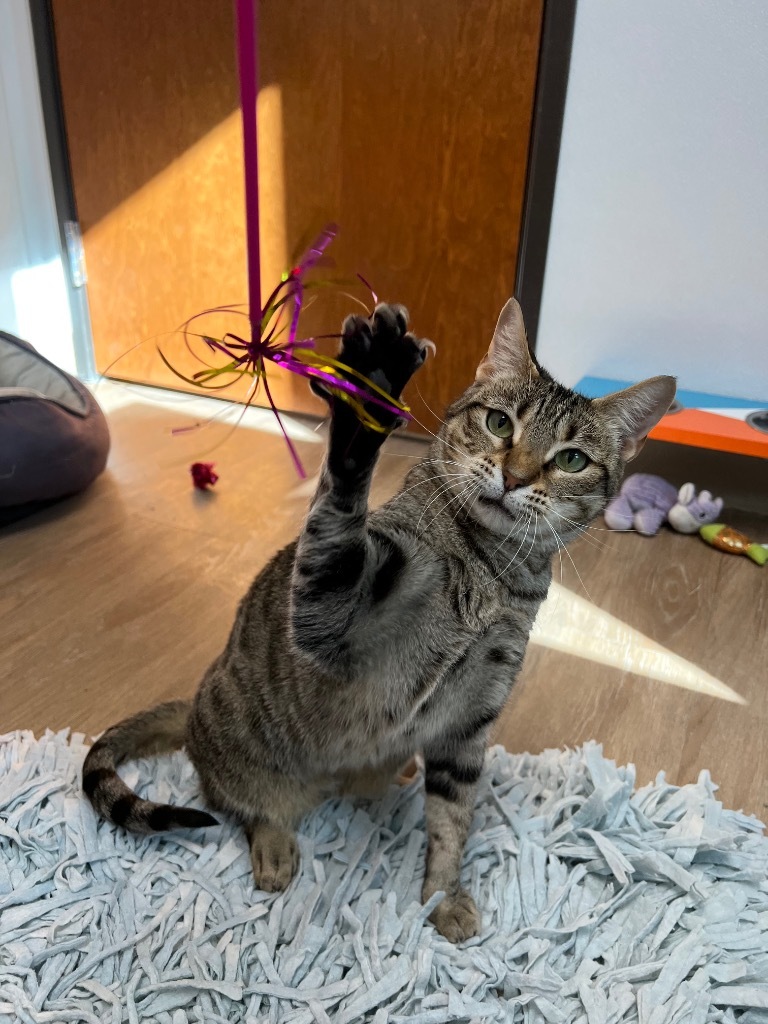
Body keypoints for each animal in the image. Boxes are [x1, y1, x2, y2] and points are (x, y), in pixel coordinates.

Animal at [81, 299, 675, 942]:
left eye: (571, 459)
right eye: (499, 424)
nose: (514, 477)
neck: (491, 573)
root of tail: (193, 705)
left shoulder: (470, 719)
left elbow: (451, 821)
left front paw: (442, 896)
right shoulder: (334, 606)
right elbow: (339, 503)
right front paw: (370, 396)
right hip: (242, 757)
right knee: (240, 804)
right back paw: (273, 843)